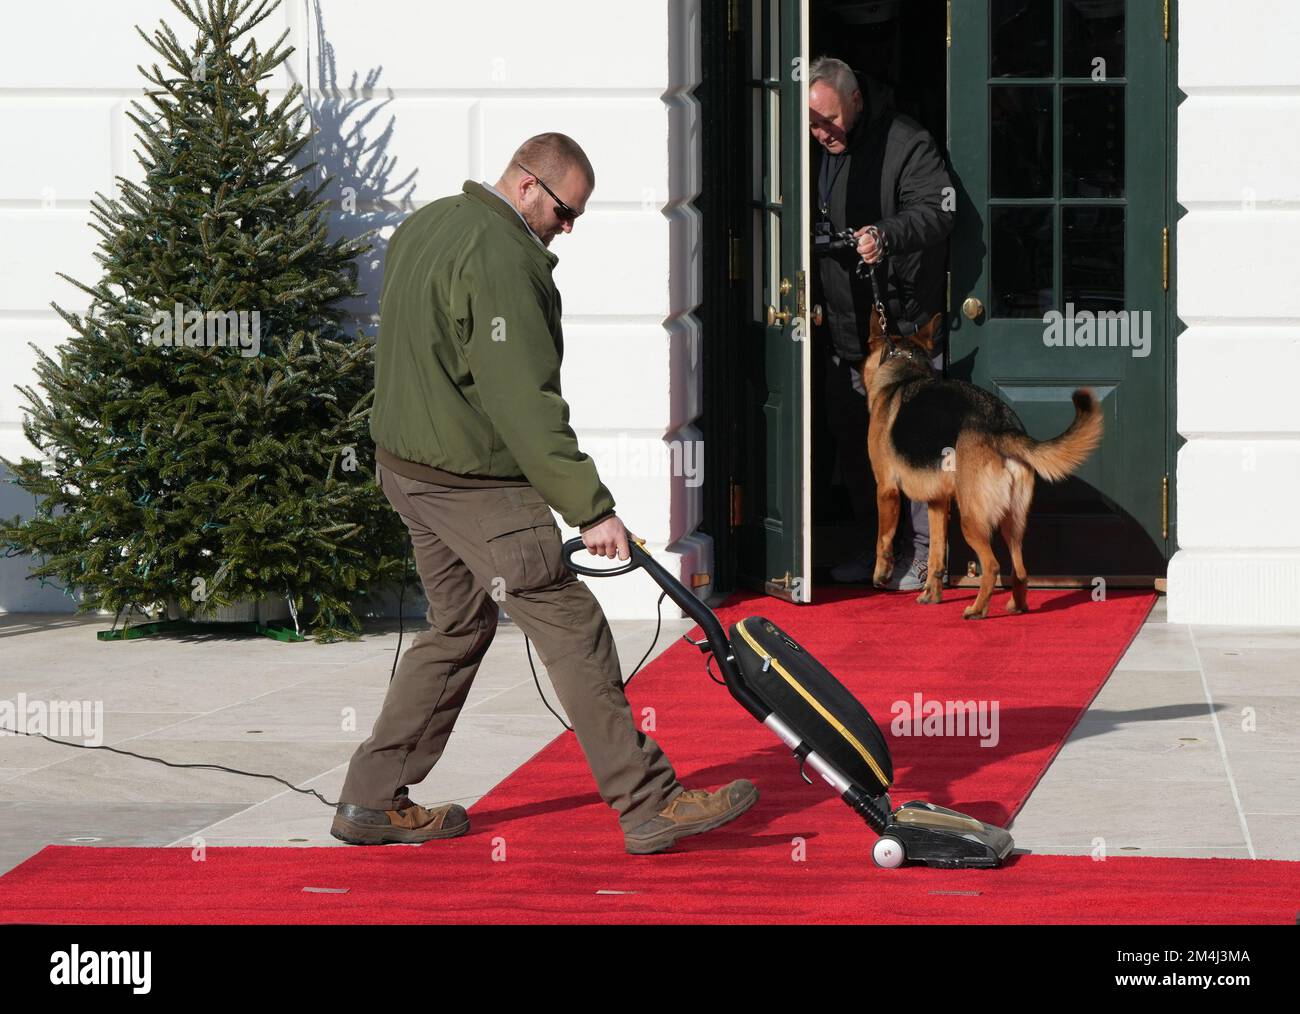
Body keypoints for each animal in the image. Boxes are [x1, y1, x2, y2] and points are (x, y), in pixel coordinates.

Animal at [868, 314, 1102, 618]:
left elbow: (883, 539)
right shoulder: (937, 503)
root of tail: (1003, 428)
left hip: (971, 519)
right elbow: (935, 557)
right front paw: (932, 594)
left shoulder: (886, 490)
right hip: (1012, 521)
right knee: (1020, 570)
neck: (905, 366)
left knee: (991, 566)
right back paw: (1017, 606)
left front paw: (881, 574)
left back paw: (977, 609)